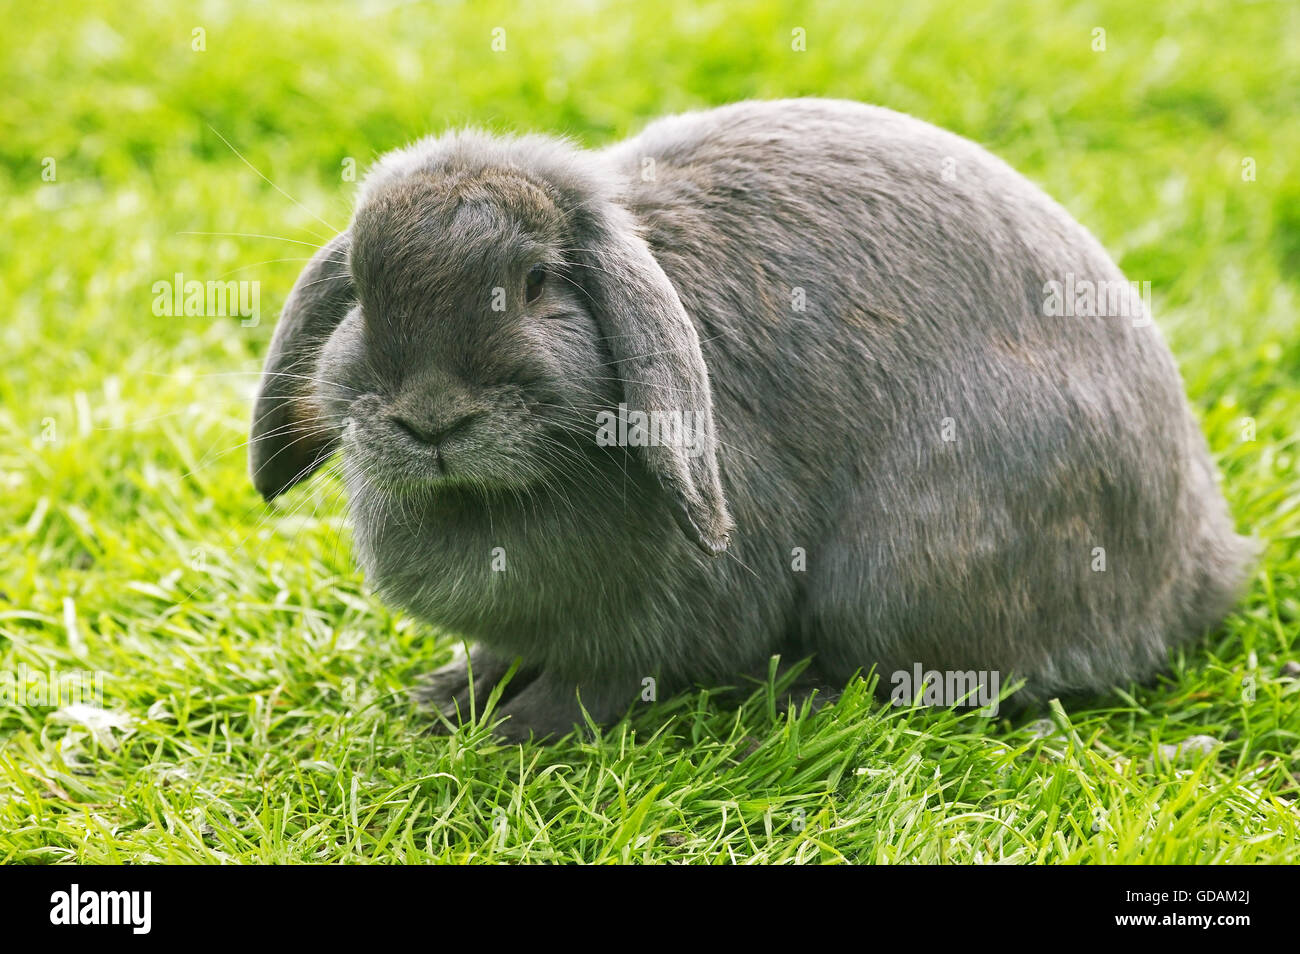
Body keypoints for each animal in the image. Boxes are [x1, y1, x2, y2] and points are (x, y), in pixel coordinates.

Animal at [248, 97, 1253, 743]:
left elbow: (594, 680)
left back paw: (800, 704)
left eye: (536, 284)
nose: (430, 419)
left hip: (900, 571)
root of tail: (1200, 565)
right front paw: (452, 694)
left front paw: (516, 734)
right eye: (362, 293)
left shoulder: (664, 617)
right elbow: (506, 651)